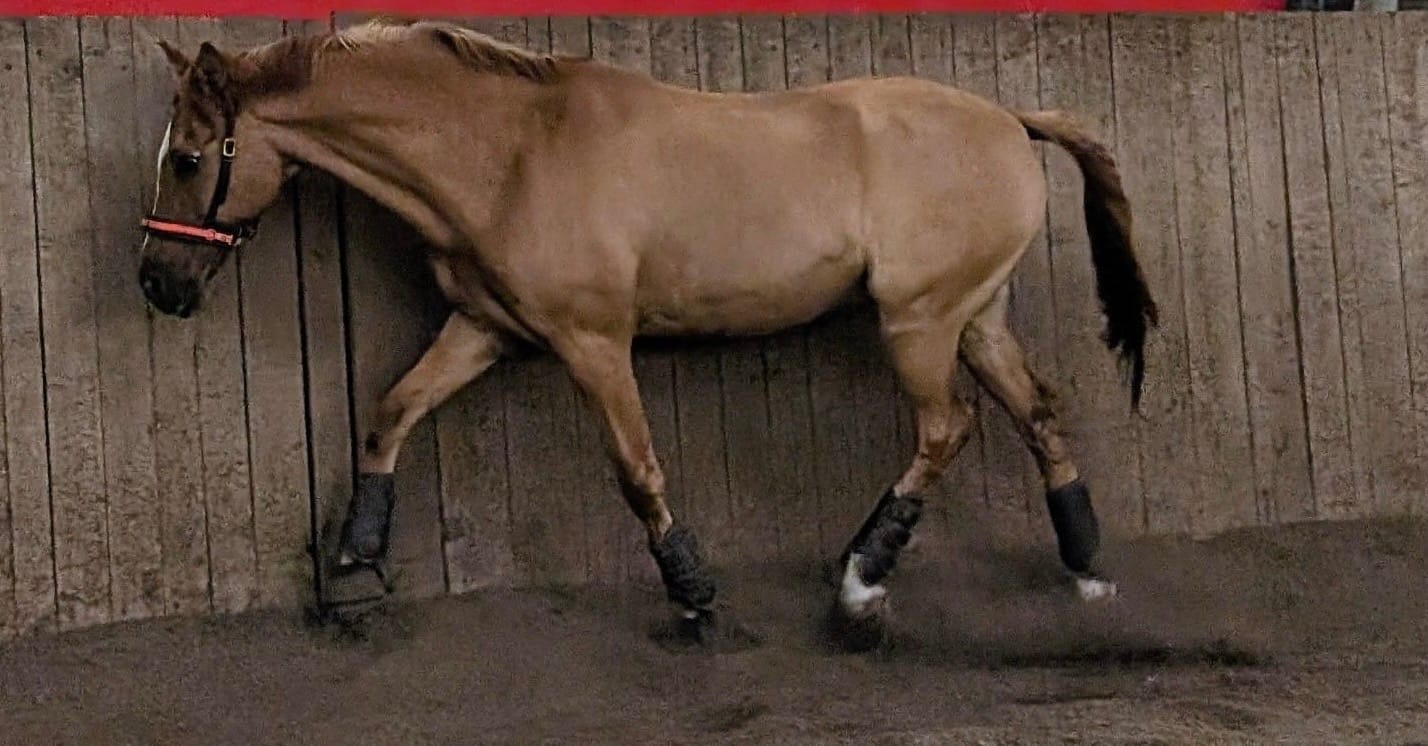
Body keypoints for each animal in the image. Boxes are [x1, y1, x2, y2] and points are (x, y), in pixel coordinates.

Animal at [138, 17, 1158, 646]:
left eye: (187, 158)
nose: (157, 283)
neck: (512, 154)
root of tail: (1010, 119)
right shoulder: (485, 328)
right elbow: (391, 411)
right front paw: (358, 556)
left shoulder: (593, 342)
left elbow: (637, 471)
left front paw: (696, 599)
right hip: (975, 317)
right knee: (1038, 415)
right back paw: (1087, 569)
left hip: (921, 318)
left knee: (947, 428)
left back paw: (861, 583)